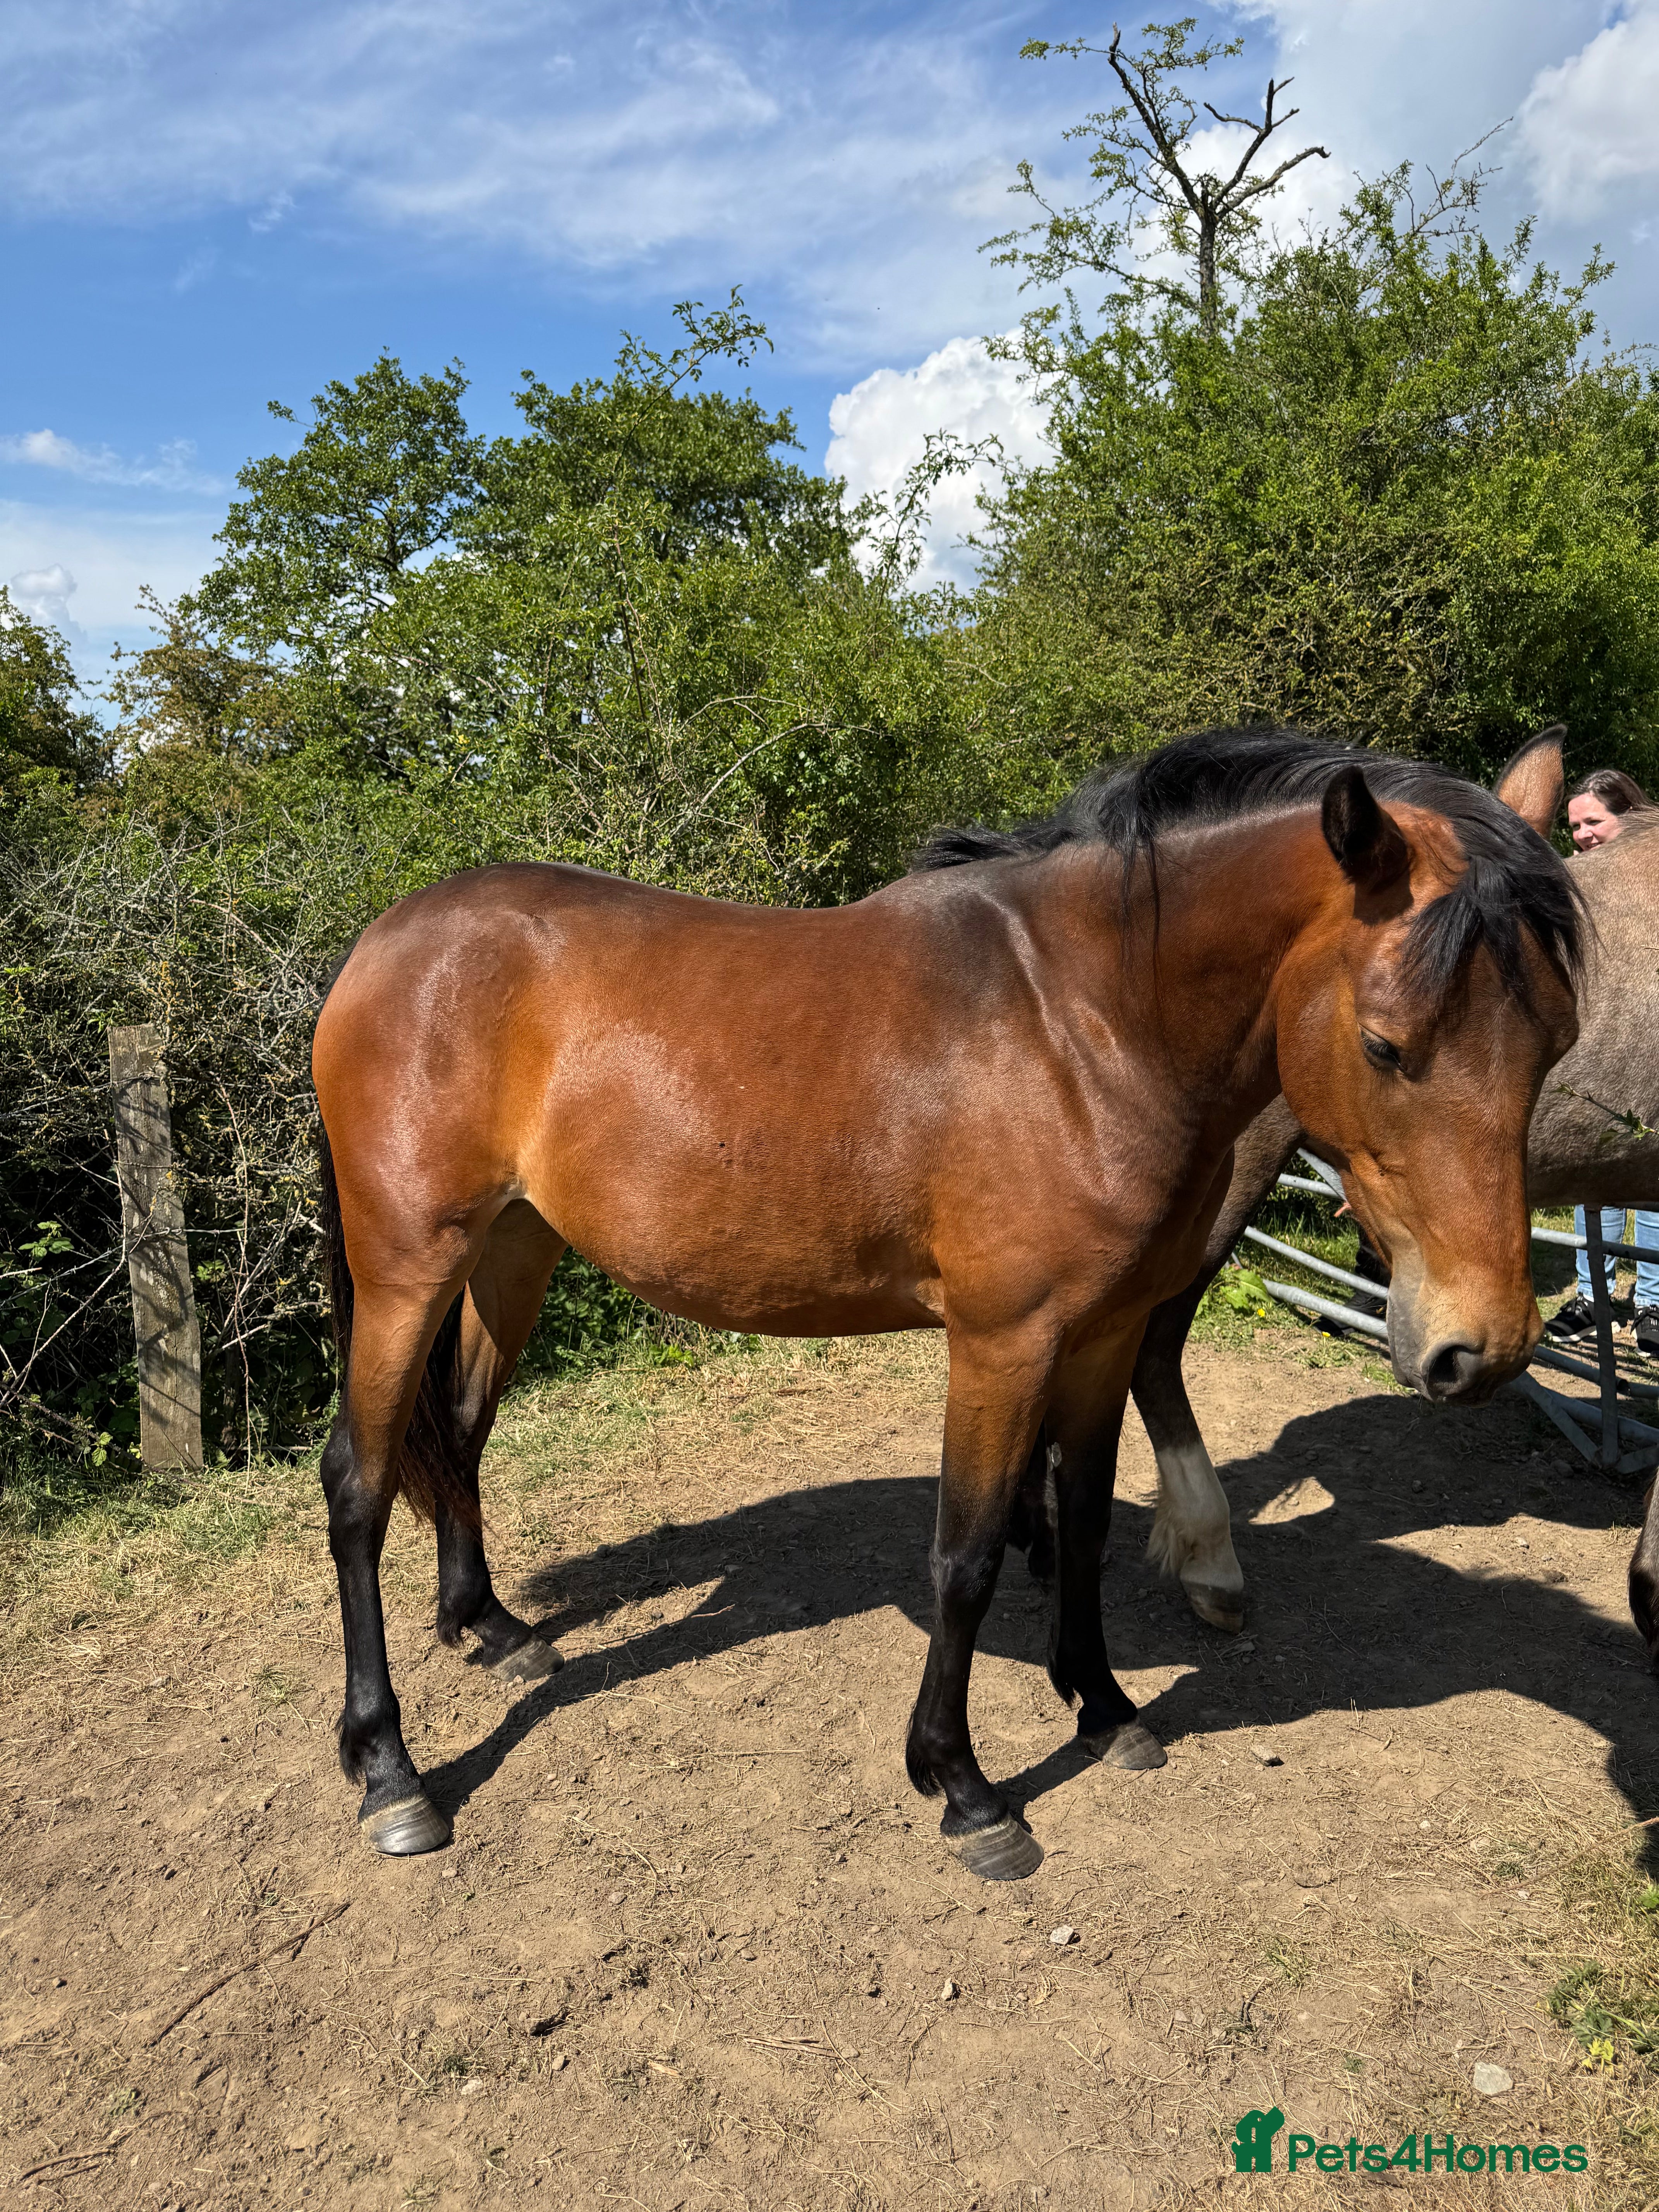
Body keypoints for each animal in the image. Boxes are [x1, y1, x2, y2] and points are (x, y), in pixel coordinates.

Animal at [311, 727, 1582, 1879]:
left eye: (1556, 1039)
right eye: (1386, 1044)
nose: (1486, 1347)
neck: (1082, 1025)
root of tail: (387, 943)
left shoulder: (1104, 1334)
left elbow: (1079, 1523)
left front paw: (1103, 1707)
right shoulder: (1003, 1343)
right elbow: (965, 1557)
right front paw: (964, 1786)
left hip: (511, 1252)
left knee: (459, 1434)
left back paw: (490, 1628)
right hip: (407, 1269)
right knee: (359, 1484)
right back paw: (391, 1773)